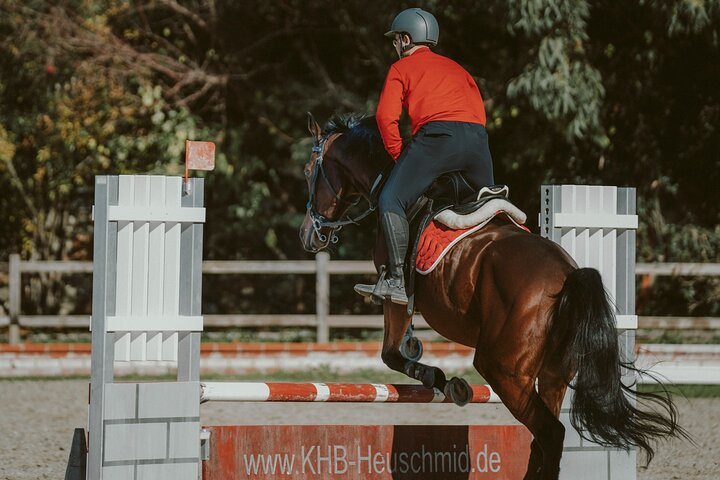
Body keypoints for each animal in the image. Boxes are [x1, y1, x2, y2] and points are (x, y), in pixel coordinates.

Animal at [298, 113, 688, 480]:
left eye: (308, 171)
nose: (308, 235)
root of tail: (568, 275)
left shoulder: (396, 299)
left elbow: (391, 354)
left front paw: (444, 381)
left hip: (502, 370)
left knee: (550, 433)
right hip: (552, 373)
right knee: (541, 438)